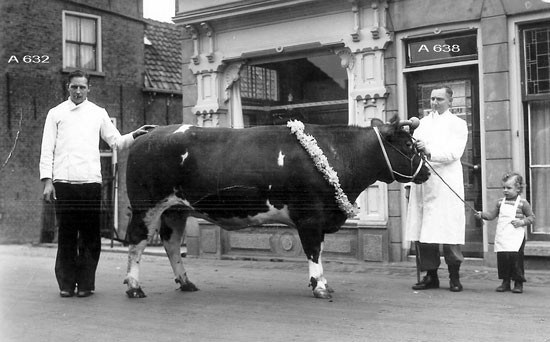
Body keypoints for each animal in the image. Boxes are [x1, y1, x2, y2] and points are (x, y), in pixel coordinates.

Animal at [123, 116, 430, 298]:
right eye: (407, 144)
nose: (426, 172)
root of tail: (148, 134)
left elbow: (318, 251)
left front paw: (322, 283)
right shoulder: (310, 217)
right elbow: (314, 251)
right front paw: (320, 286)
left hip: (176, 210)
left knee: (172, 244)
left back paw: (186, 283)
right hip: (146, 207)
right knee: (137, 243)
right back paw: (135, 287)